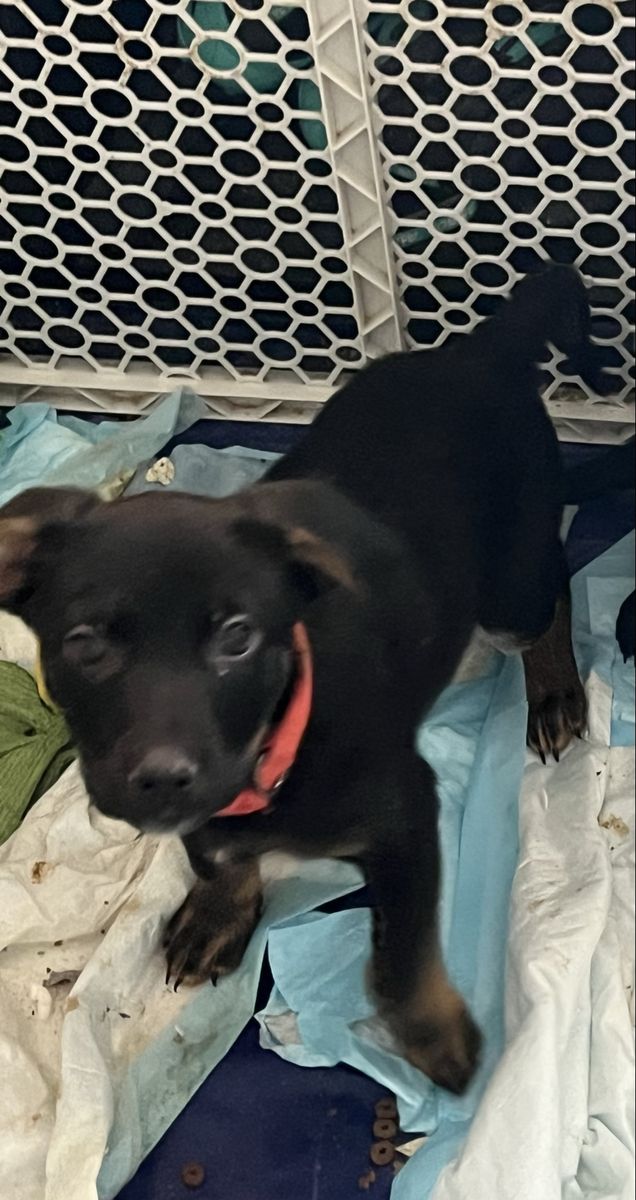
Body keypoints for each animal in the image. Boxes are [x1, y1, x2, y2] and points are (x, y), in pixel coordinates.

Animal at [0, 265, 615, 1095]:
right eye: (84, 645)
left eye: (238, 637)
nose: (160, 779)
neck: (278, 746)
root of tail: (479, 351)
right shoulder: (208, 814)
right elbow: (218, 857)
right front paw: (216, 913)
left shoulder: (405, 818)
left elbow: (399, 956)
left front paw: (436, 1037)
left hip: (510, 585)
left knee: (549, 595)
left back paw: (553, 693)